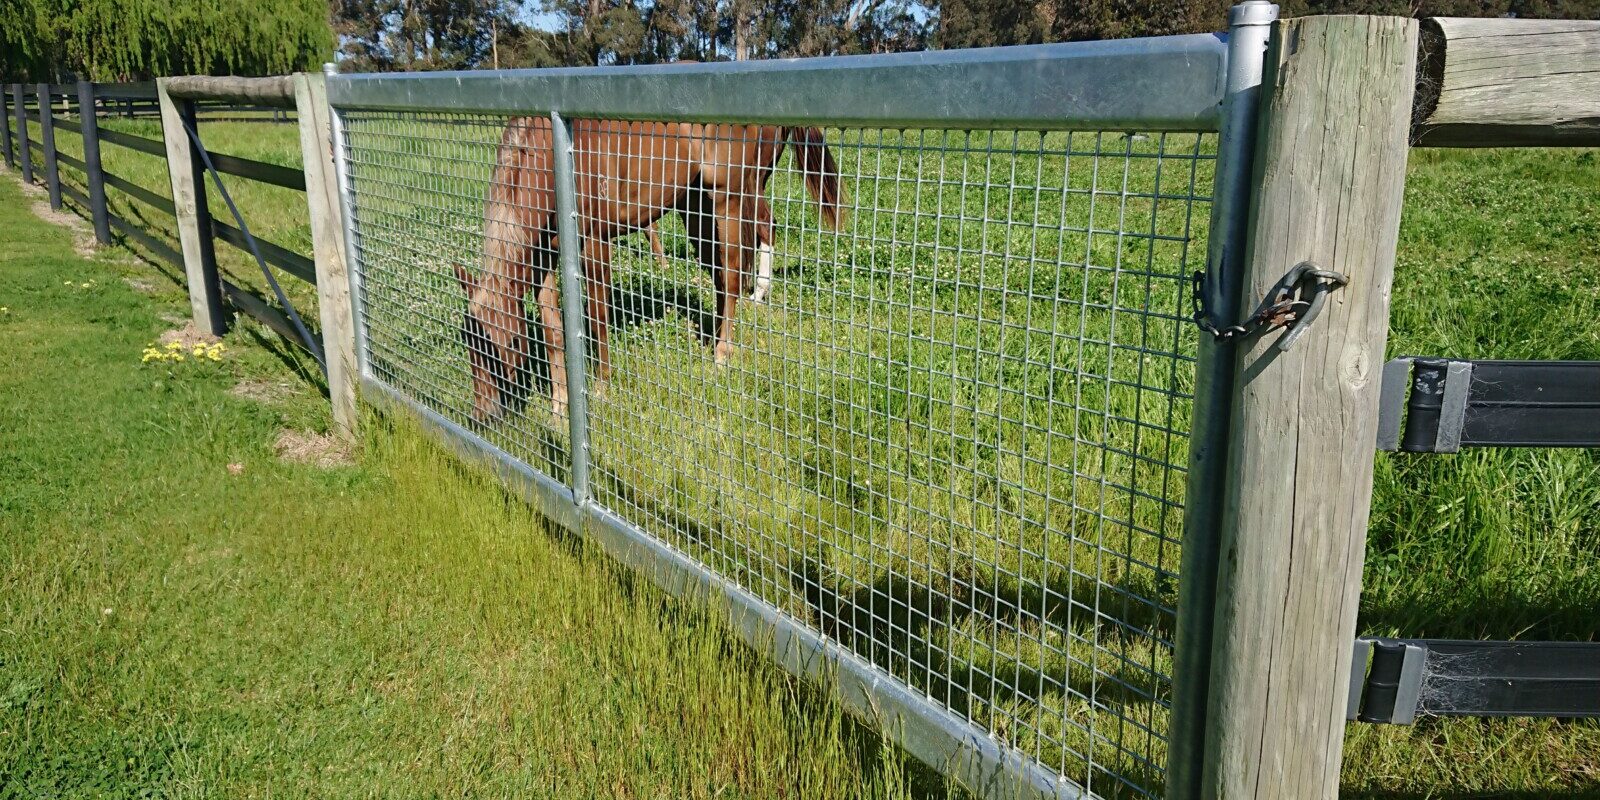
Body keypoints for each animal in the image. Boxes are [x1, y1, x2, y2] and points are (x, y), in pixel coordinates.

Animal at [454, 118, 844, 423]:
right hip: (695, 205)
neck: (551, 159)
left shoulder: (595, 243)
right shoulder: (541, 259)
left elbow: (598, 319)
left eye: (509, 343)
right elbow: (553, 332)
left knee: (738, 266)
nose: (482, 416)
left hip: (730, 198)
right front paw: (559, 408)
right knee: (721, 271)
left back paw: (724, 351)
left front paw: (601, 388)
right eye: (469, 342)